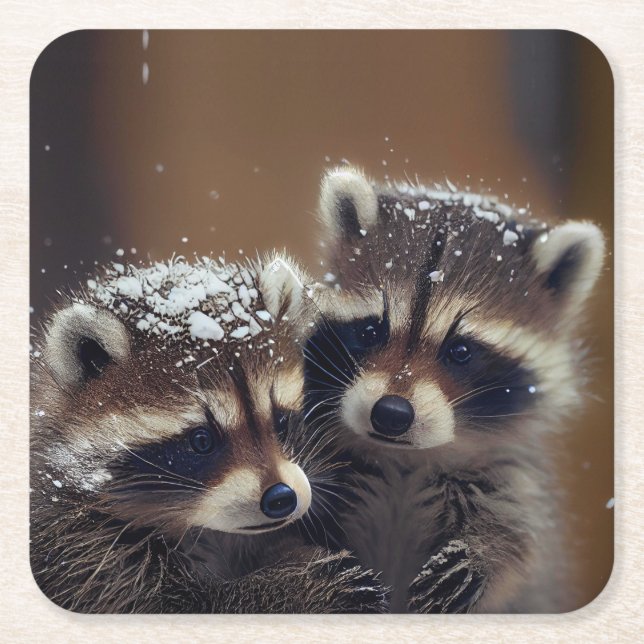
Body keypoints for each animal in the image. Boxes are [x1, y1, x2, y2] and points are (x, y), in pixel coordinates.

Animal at [30, 252, 387, 613]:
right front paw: (294, 585)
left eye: (281, 422)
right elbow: (179, 603)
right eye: (201, 440)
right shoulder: (79, 544)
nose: (282, 498)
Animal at [303, 166, 605, 613]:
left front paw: (485, 551)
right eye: (371, 331)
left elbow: (520, 538)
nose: (390, 414)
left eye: (460, 351)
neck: (405, 461)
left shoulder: (510, 475)